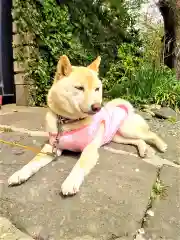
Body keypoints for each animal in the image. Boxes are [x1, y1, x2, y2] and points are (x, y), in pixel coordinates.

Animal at [7, 55, 167, 195]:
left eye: (97, 89)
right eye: (79, 88)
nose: (97, 107)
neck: (67, 122)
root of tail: (122, 107)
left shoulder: (89, 149)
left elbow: (80, 165)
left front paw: (70, 182)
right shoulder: (52, 147)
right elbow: (34, 161)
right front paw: (20, 173)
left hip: (128, 129)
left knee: (150, 135)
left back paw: (162, 145)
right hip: (117, 137)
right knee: (138, 141)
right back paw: (143, 149)